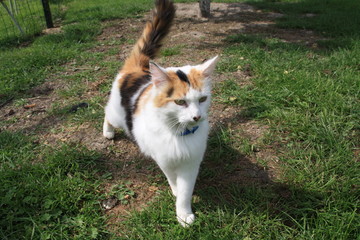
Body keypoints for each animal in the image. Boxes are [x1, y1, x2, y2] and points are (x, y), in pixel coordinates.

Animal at [102, 0, 218, 227]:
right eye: (180, 102)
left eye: (202, 99)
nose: (197, 117)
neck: (179, 134)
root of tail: (137, 69)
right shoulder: (163, 159)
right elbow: (172, 179)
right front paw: (175, 191)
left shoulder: (192, 162)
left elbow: (186, 190)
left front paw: (184, 214)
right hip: (117, 115)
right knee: (106, 113)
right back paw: (107, 132)